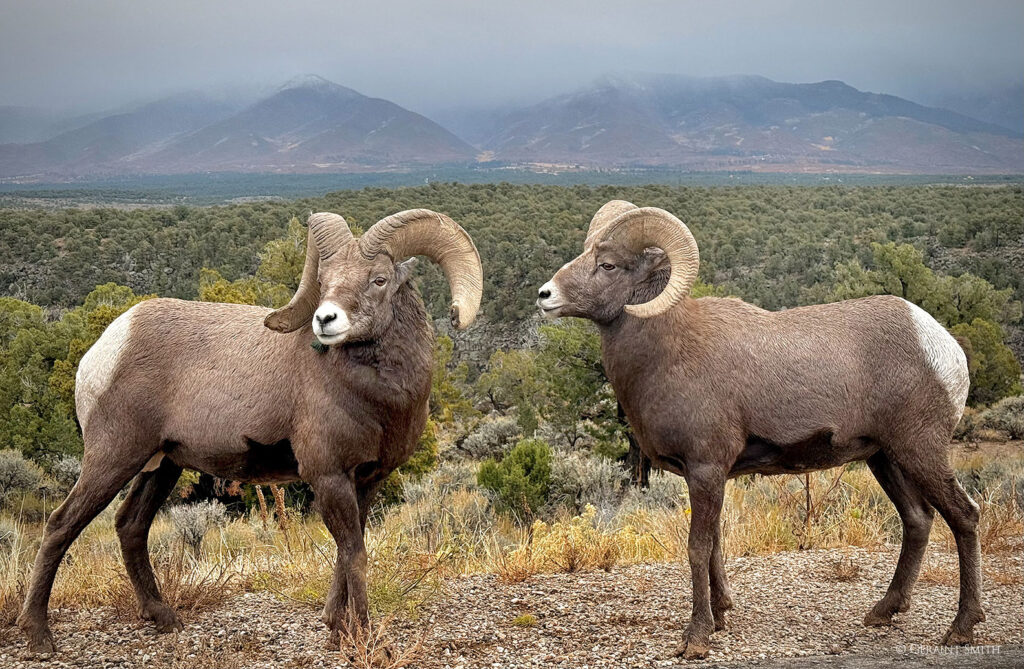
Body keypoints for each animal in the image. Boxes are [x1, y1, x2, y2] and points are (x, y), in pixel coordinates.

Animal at [16, 206, 479, 651]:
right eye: (324, 281)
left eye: (379, 279)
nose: (325, 320)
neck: (378, 398)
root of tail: (104, 349)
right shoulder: (328, 477)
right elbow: (355, 555)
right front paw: (363, 641)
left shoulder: (366, 480)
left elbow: (348, 553)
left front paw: (335, 629)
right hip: (113, 457)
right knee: (61, 524)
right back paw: (38, 634)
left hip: (162, 465)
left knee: (130, 526)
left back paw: (164, 619)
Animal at [536, 199, 974, 655]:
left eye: (607, 264)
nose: (544, 295)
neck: (666, 352)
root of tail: (944, 346)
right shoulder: (707, 476)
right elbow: (714, 546)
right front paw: (721, 615)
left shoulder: (706, 468)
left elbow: (698, 548)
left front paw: (696, 637)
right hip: (885, 458)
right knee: (918, 520)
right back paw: (882, 612)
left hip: (919, 451)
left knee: (964, 516)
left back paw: (961, 628)